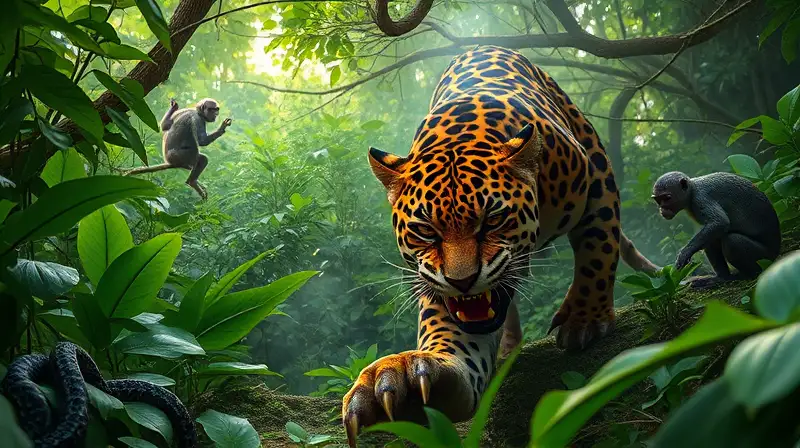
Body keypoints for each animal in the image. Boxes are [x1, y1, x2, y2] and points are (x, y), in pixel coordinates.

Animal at [342, 45, 659, 447]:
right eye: (425, 231)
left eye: (492, 220)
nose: (462, 281)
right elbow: (450, 341)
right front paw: (406, 384)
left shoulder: (596, 181)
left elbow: (598, 251)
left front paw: (585, 320)